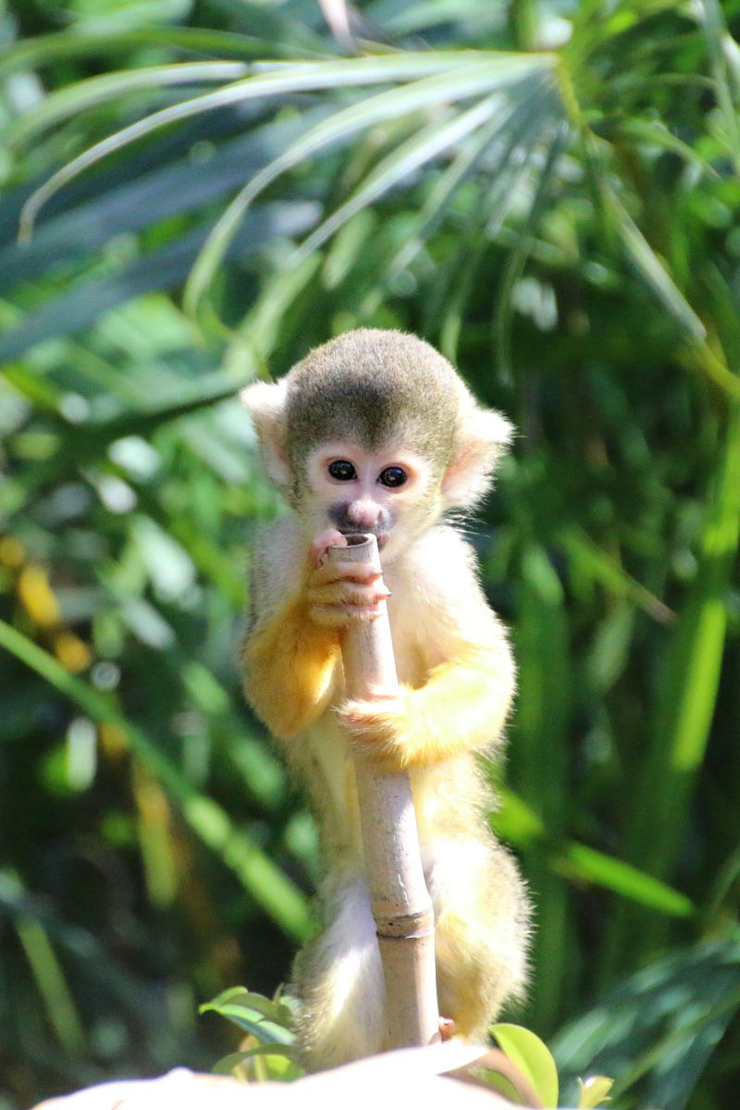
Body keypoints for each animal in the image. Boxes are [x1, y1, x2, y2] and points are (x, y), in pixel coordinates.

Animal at [239, 328, 530, 1071]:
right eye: (342, 471)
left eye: (393, 478)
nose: (362, 514)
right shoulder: (275, 551)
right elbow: (273, 699)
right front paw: (323, 606)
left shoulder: (444, 563)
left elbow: (487, 670)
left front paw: (402, 727)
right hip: (351, 902)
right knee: (335, 998)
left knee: (466, 909)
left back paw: (458, 1032)